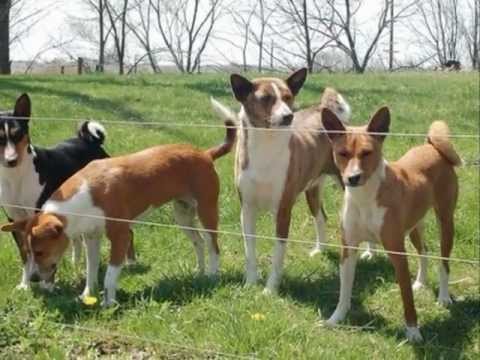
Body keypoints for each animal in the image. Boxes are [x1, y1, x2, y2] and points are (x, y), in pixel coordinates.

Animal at [0, 93, 137, 290]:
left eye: (18, 134)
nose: (11, 160)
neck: (16, 177)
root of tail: (90, 142)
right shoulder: (15, 219)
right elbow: (26, 255)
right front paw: (25, 285)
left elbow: (49, 254)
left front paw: (47, 286)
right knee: (77, 239)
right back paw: (76, 263)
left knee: (128, 233)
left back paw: (131, 262)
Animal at [0, 120, 236, 304]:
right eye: (27, 252)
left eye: (40, 252)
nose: (33, 279)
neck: (86, 193)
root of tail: (204, 153)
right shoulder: (91, 238)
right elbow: (91, 271)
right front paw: (87, 295)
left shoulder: (120, 236)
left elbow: (110, 276)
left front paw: (109, 302)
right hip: (183, 215)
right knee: (199, 243)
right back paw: (200, 272)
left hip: (207, 211)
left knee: (213, 246)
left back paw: (212, 275)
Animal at [212, 69, 350, 294]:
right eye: (265, 98)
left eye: (288, 97)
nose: (288, 116)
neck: (266, 148)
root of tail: (321, 109)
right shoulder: (246, 209)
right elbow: (249, 251)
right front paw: (250, 283)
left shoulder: (283, 210)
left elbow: (277, 255)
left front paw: (270, 290)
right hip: (312, 189)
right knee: (321, 217)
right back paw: (319, 250)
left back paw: (368, 253)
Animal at [322, 105, 462, 342]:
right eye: (342, 153)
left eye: (367, 153)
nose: (353, 178)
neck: (365, 198)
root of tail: (431, 147)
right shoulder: (348, 249)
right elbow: (344, 291)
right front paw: (336, 319)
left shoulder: (397, 251)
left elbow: (407, 299)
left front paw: (413, 332)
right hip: (414, 225)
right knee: (424, 251)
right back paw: (421, 282)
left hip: (445, 222)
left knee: (444, 263)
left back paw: (443, 298)